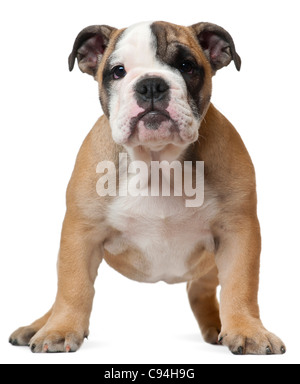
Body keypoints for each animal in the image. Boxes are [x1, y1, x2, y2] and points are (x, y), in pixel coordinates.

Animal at [9, 21, 286, 356]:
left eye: (186, 66)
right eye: (117, 71)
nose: (151, 85)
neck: (157, 162)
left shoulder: (238, 231)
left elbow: (241, 284)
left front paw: (247, 331)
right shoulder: (81, 233)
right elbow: (74, 285)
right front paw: (60, 329)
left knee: (200, 289)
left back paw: (218, 325)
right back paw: (40, 325)